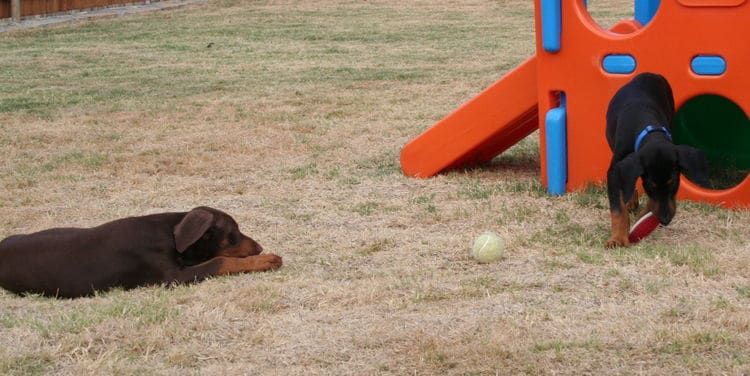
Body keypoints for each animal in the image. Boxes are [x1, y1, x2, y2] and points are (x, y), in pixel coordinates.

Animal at [0, 207, 282, 298]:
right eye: (234, 233)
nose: (259, 248)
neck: (170, 234)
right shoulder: (173, 278)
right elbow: (220, 261)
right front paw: (267, 259)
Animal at [604, 72, 712, 248]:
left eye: (673, 183)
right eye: (650, 187)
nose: (665, 220)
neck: (649, 129)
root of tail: (647, 74)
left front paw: (644, 215)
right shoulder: (615, 170)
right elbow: (618, 208)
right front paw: (617, 239)